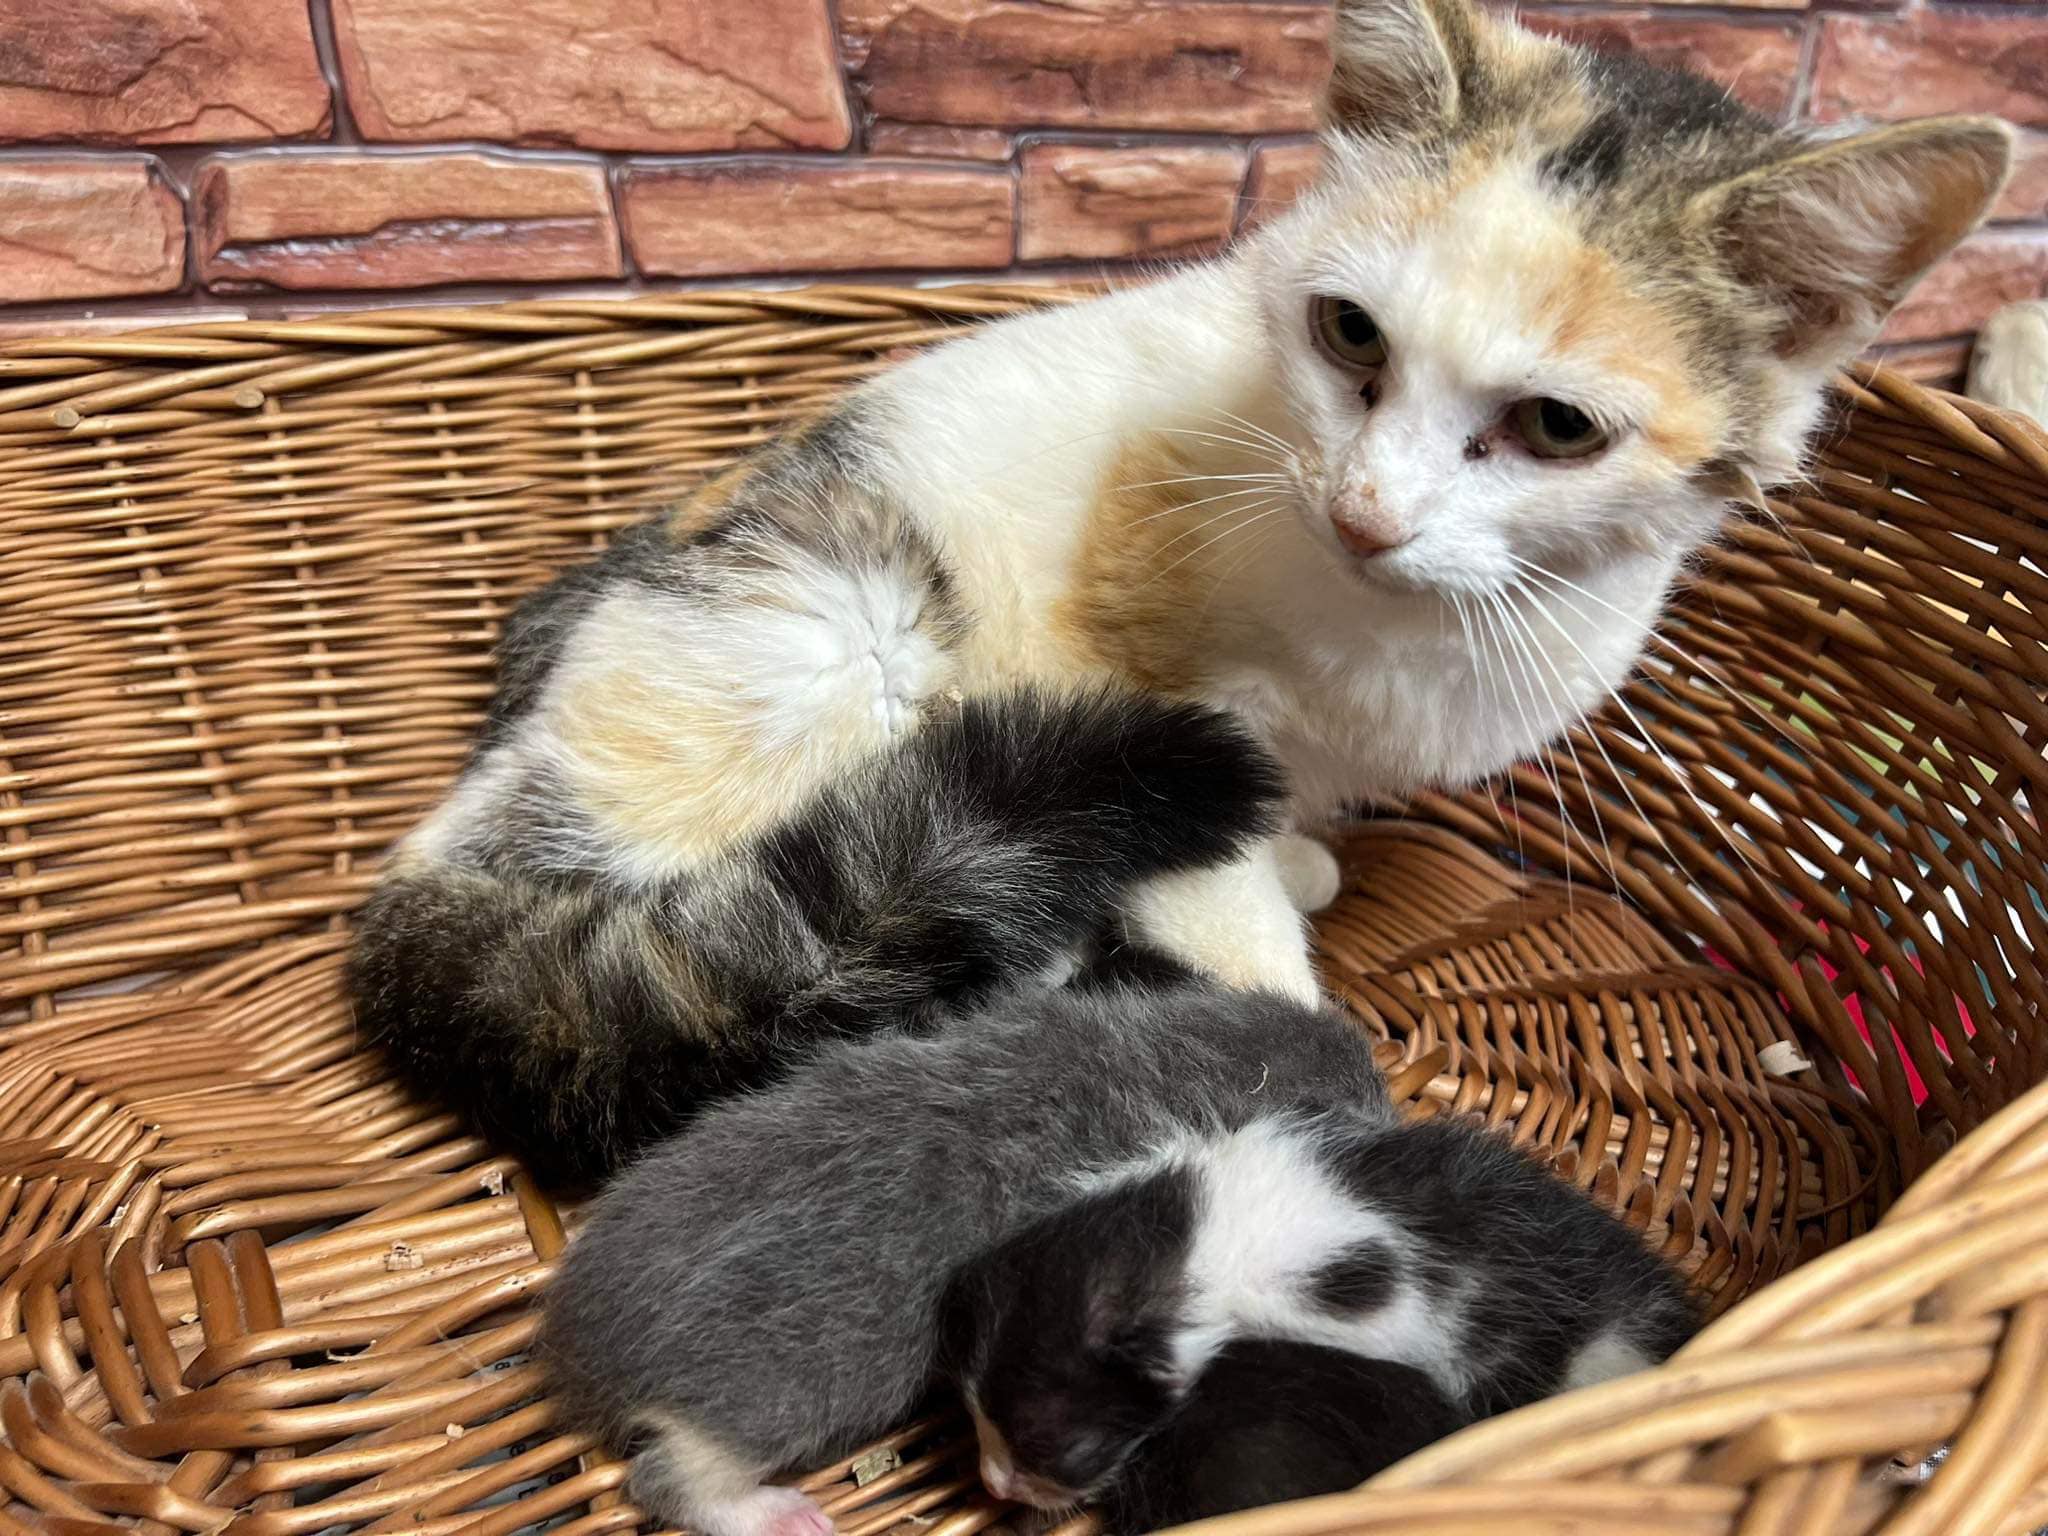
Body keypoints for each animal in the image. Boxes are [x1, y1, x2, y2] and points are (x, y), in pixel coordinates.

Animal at [348, 0, 1998, 1187]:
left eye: (1557, 428)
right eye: (1350, 334)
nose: (1367, 511)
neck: (1393, 629)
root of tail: (448, 839)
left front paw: (1309, 859)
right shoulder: (1126, 674)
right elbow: (1222, 881)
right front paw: (1287, 1029)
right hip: (838, 619)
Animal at [540, 978, 1392, 1536]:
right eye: (1355, 1112)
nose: (1391, 1108)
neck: (1176, 1066)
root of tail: (583, 1342)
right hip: (789, 1389)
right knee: (671, 1472)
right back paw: (772, 1512)